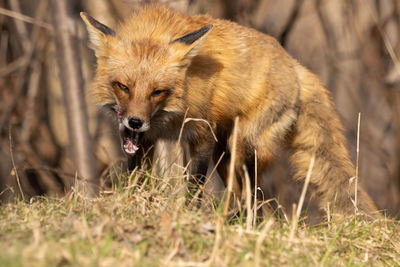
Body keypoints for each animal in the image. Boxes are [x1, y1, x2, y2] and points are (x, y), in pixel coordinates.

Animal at [80, 6, 378, 217]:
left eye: (157, 92)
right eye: (123, 86)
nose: (135, 122)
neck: (167, 120)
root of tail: (295, 65)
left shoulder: (202, 135)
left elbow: (194, 187)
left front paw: (188, 215)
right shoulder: (144, 142)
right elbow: (137, 179)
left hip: (241, 147)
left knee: (254, 201)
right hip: (225, 157)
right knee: (252, 202)